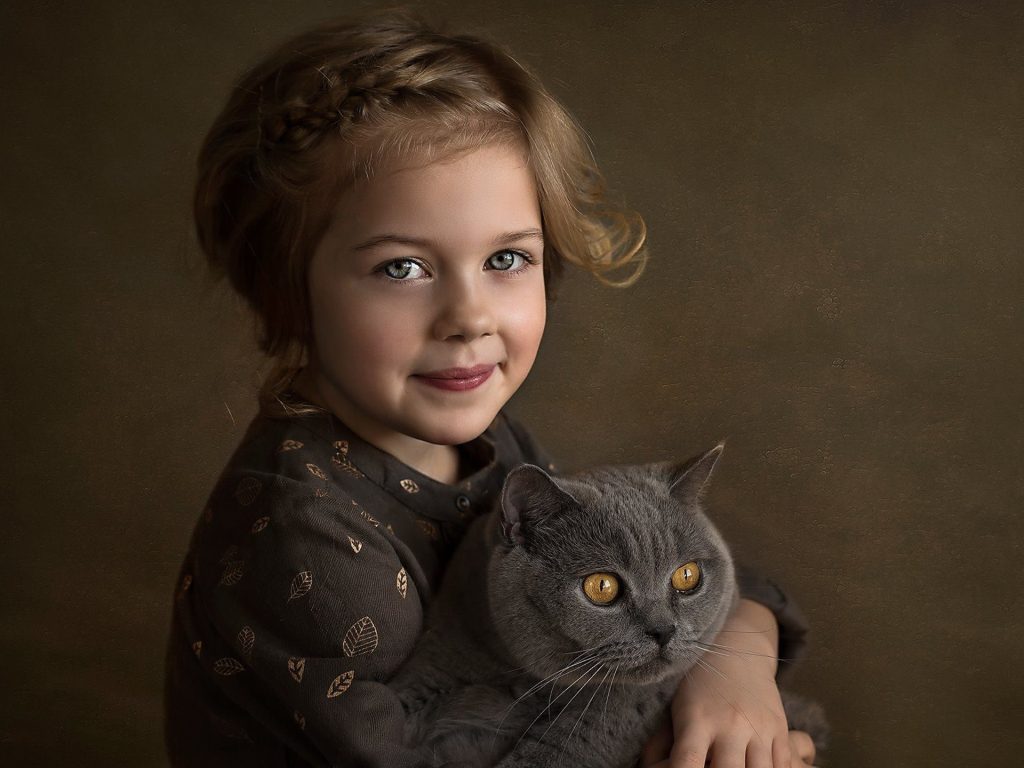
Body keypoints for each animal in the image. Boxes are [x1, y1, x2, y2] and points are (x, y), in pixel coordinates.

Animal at [391, 448, 823, 765]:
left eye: (687, 576)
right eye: (602, 586)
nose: (663, 630)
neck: (520, 679)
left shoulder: (630, 702)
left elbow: (570, 747)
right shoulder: (440, 651)